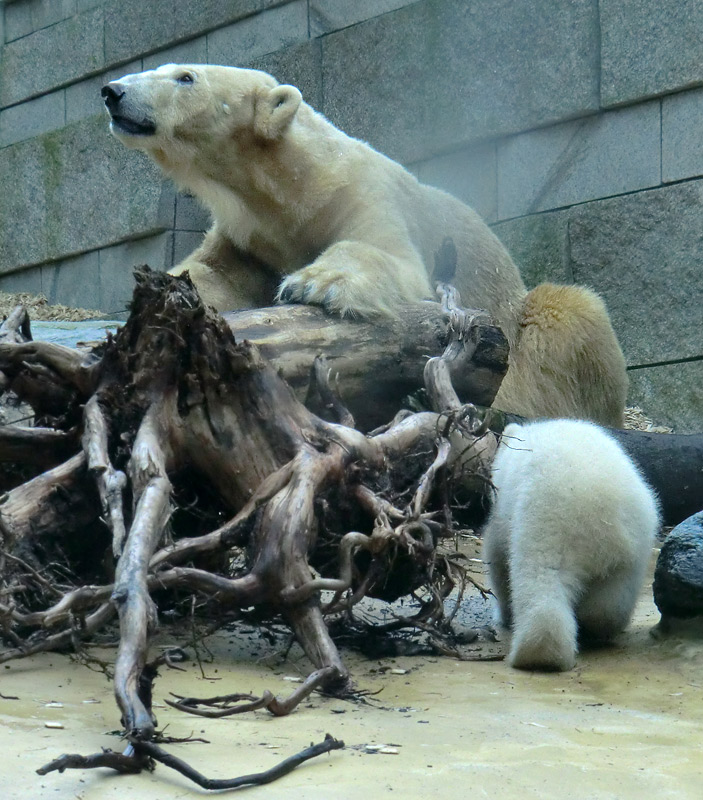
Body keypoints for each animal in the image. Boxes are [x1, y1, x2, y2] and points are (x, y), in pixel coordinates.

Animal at [100, 64, 628, 424]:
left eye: (185, 76)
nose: (113, 91)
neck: (292, 189)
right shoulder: (249, 235)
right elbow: (215, 274)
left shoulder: (364, 193)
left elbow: (391, 256)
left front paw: (317, 284)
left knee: (566, 315)